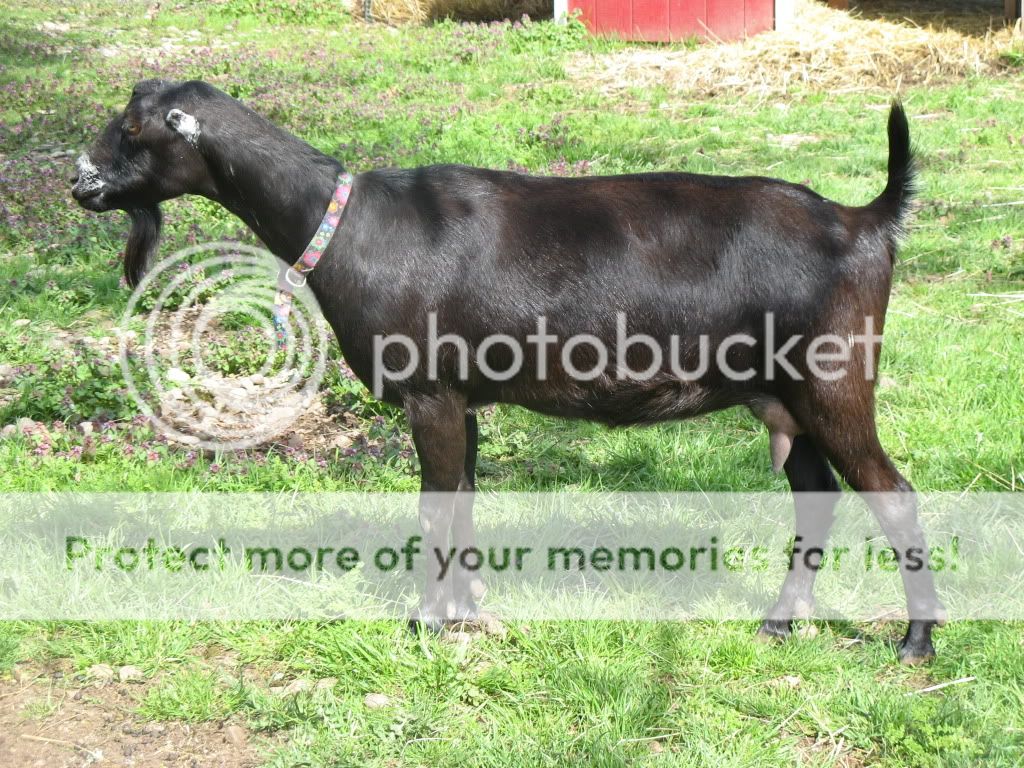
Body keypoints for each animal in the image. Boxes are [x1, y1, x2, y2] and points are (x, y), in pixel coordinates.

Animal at [72, 79, 945, 664]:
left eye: (133, 127)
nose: (79, 181)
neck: (351, 226)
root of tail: (866, 221)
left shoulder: (428, 391)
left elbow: (434, 509)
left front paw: (428, 624)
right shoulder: (463, 396)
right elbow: (462, 503)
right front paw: (470, 611)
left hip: (832, 379)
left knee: (892, 494)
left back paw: (916, 643)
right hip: (780, 397)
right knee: (818, 496)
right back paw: (779, 622)